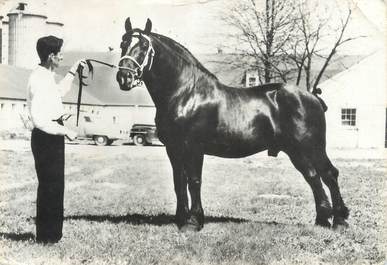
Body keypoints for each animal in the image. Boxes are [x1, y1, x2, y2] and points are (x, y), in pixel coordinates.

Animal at [116, 17, 350, 230]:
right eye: (122, 43)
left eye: (144, 46)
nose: (124, 77)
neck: (186, 93)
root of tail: (312, 96)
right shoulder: (173, 148)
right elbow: (179, 182)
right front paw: (181, 220)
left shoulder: (193, 147)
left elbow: (194, 181)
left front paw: (194, 222)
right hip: (296, 151)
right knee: (313, 177)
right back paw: (322, 220)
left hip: (312, 147)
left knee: (329, 174)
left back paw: (339, 221)